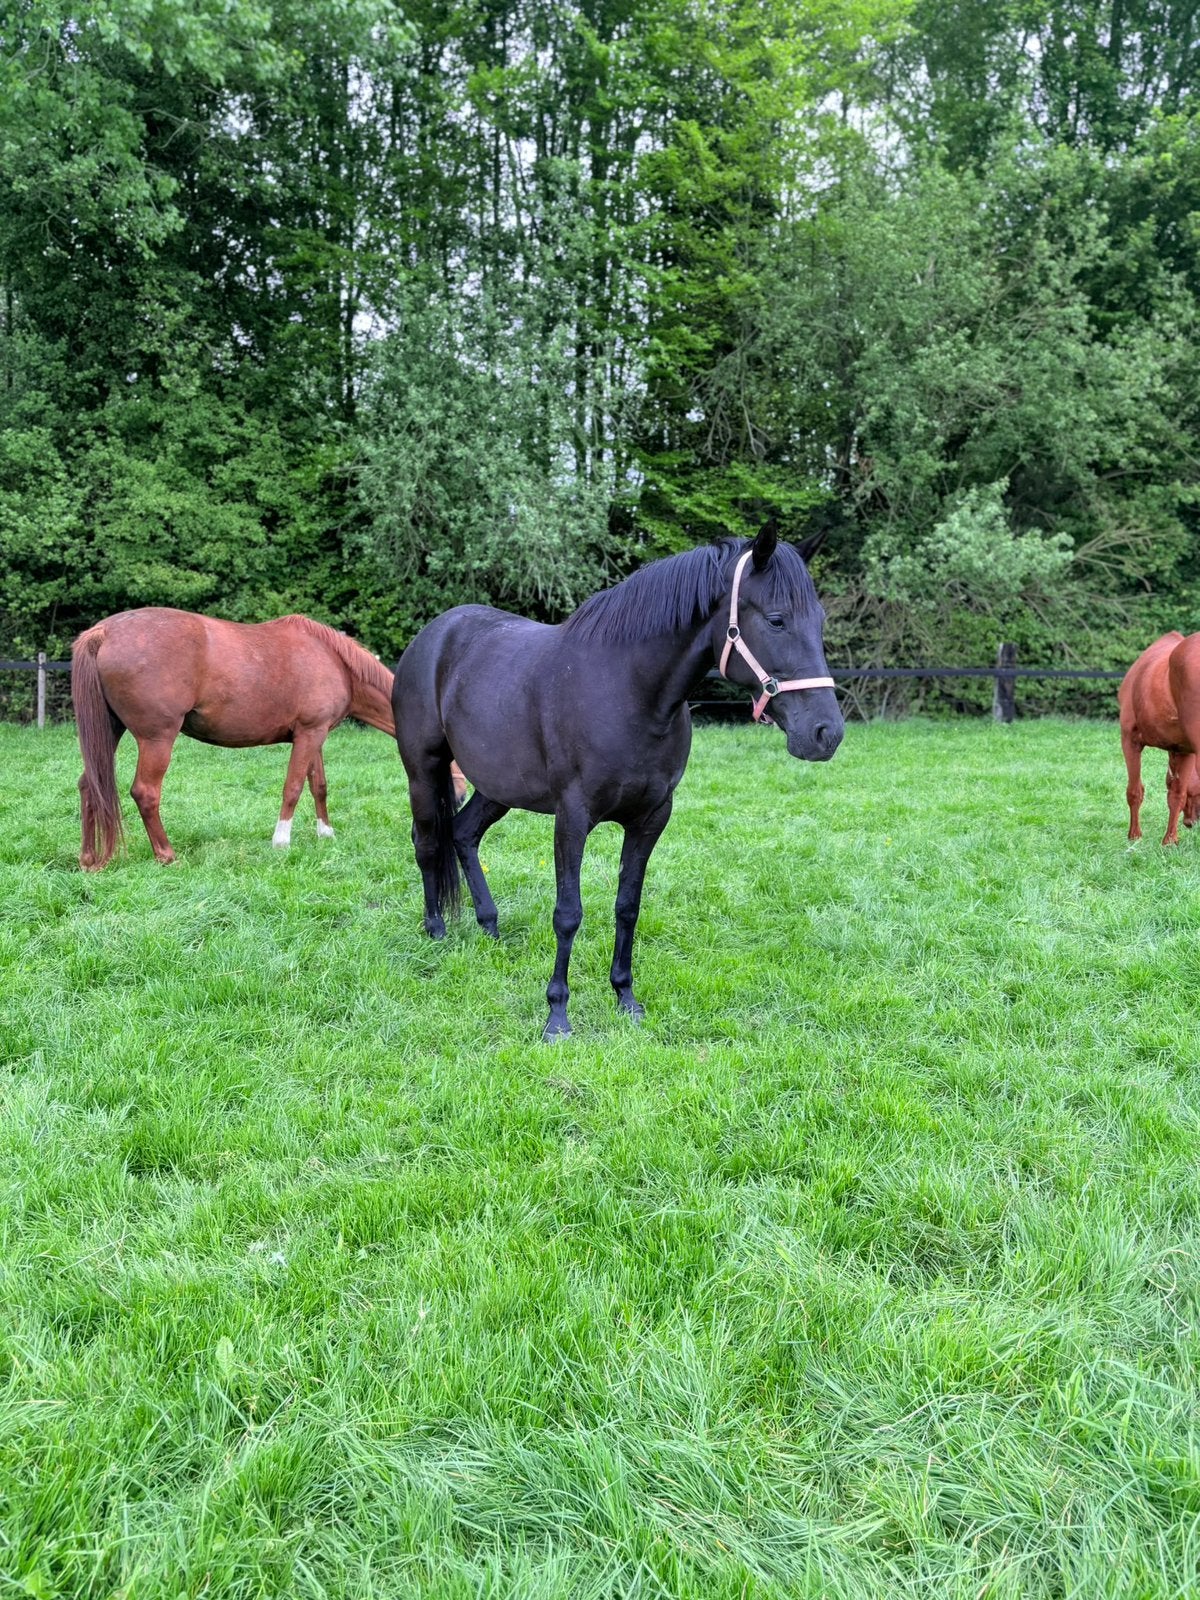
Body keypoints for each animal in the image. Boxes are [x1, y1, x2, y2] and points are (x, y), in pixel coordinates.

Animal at [72, 607, 465, 869]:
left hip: (109, 733)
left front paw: (325, 833)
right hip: (157, 739)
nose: (457, 803)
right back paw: (167, 856)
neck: (334, 661)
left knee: (90, 785)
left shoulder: (314, 735)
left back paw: (90, 860)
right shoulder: (309, 735)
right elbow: (292, 788)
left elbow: (318, 786)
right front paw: (281, 841)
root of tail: (103, 633)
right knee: (146, 793)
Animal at [392, 521, 844, 1039]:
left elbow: (628, 906)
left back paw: (490, 926)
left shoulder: (651, 818)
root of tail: (435, 633)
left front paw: (625, 997)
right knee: (428, 841)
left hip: (497, 785)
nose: (826, 733)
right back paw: (436, 930)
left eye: (819, 621)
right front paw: (557, 1015)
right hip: (423, 770)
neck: (629, 691)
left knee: (464, 834)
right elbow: (568, 914)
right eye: (775, 620)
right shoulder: (572, 817)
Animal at [1118, 631, 1200, 845]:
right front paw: (1170, 841)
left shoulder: (1129, 740)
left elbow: (1134, 791)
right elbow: (1176, 794)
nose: (1192, 822)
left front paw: (1134, 836)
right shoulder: (1183, 750)